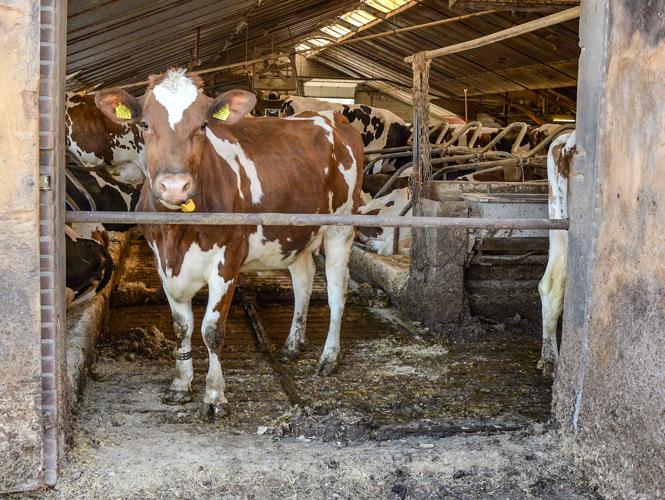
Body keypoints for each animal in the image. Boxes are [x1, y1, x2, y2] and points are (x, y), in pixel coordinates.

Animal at [95, 68, 364, 418]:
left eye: (202, 126)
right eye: (144, 125)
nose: (174, 186)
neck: (176, 234)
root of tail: (331, 116)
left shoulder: (227, 261)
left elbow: (211, 330)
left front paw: (214, 396)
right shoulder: (163, 263)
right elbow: (181, 326)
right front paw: (180, 385)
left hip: (341, 226)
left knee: (336, 292)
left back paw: (328, 358)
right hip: (295, 232)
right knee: (303, 280)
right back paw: (293, 345)